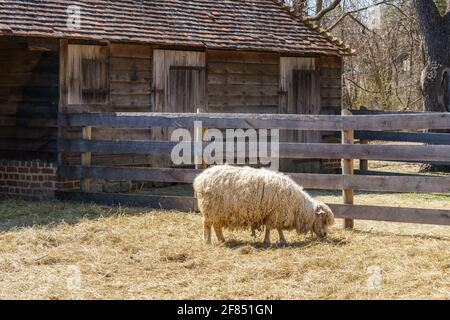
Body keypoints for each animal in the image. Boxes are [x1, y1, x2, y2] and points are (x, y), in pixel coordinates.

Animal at [193, 165, 334, 245]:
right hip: (210, 208)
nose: (325, 235)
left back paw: (222, 240)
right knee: (207, 225)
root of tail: (199, 178)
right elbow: (271, 228)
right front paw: (269, 241)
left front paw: (281, 240)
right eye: (323, 220)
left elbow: (277, 228)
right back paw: (207, 241)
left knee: (216, 226)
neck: (298, 207)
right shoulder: (275, 213)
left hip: (218, 211)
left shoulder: (275, 214)